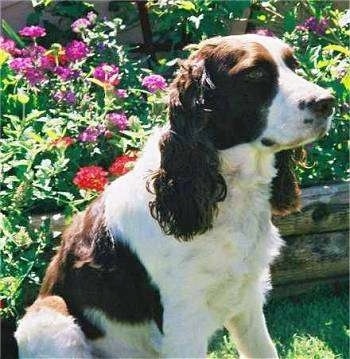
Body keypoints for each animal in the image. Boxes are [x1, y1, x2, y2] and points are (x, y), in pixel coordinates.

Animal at [15, 34, 334, 359]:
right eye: (254, 73)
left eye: (293, 65)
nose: (328, 102)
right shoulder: (183, 323)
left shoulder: (247, 300)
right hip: (49, 313)